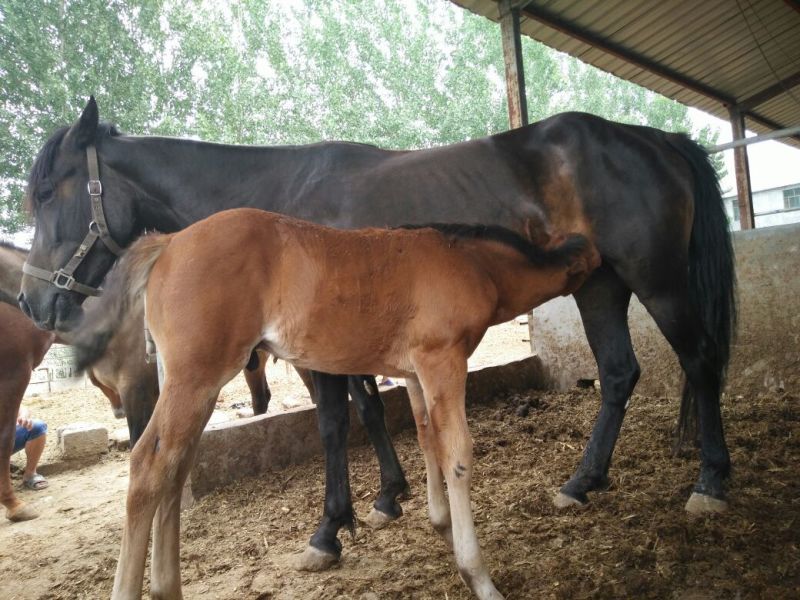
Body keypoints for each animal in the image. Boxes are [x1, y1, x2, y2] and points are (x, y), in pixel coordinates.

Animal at [18, 98, 735, 517]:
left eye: (50, 191)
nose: (32, 299)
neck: (275, 205)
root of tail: (656, 139)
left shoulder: (315, 347)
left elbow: (336, 420)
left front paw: (335, 523)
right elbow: (367, 409)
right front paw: (392, 494)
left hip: (658, 280)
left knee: (700, 362)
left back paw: (710, 483)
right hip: (600, 286)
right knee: (617, 375)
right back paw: (583, 482)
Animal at [72, 208, 599, 600]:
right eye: (593, 263)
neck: (470, 262)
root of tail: (168, 244)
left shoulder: (414, 372)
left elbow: (426, 439)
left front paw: (441, 526)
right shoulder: (442, 359)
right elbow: (457, 454)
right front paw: (478, 576)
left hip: (190, 384)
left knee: (174, 468)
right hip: (195, 378)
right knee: (147, 466)